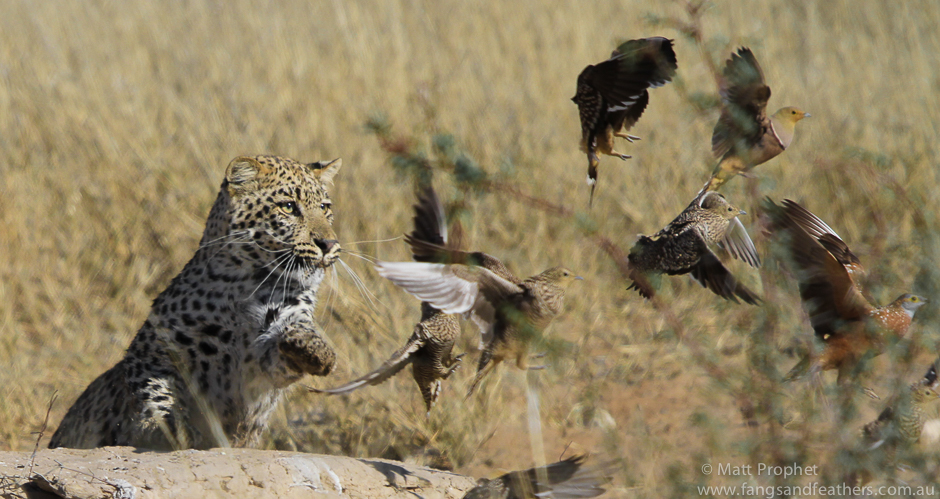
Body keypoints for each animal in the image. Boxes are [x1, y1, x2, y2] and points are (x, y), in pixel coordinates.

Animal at [49, 154, 343, 450]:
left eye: (325, 208)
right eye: (288, 207)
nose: (328, 243)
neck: (249, 284)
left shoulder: (265, 355)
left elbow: (291, 341)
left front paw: (316, 350)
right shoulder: (152, 353)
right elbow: (157, 394)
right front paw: (174, 429)